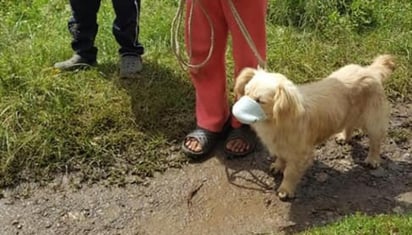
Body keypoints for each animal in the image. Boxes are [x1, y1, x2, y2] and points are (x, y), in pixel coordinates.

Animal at [233, 54, 394, 200]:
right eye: (246, 92)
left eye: (260, 101)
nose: (237, 109)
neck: (277, 121)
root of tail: (370, 71)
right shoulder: (280, 145)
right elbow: (280, 157)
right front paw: (278, 166)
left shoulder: (300, 154)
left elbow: (290, 173)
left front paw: (285, 190)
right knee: (349, 125)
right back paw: (344, 137)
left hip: (372, 120)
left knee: (375, 141)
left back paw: (372, 160)